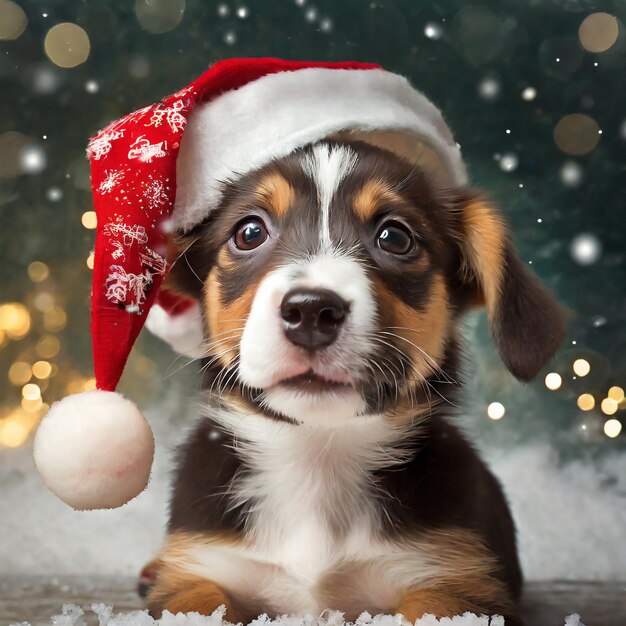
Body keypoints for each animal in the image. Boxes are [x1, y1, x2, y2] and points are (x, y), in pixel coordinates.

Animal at [144, 139, 564, 620]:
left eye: (395, 237)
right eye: (249, 233)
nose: (310, 311)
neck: (317, 457)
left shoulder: (456, 582)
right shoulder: (196, 571)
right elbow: (201, 603)